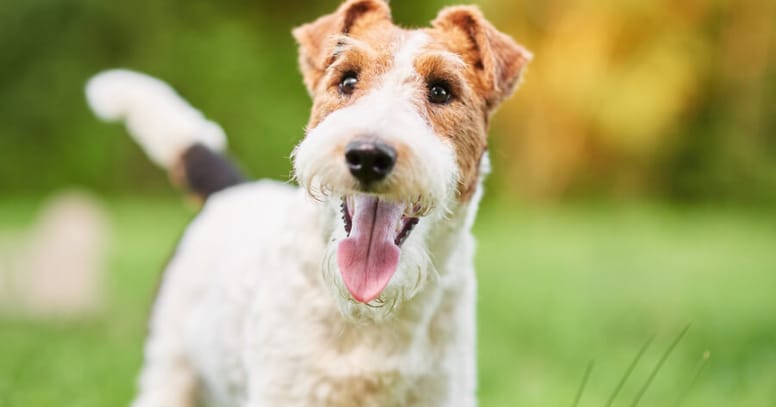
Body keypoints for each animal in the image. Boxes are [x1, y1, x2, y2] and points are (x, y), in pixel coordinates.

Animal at [88, 1, 532, 406]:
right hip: (169, 367)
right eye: (348, 80)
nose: (368, 155)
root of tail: (229, 190)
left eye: (441, 90)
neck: (369, 313)